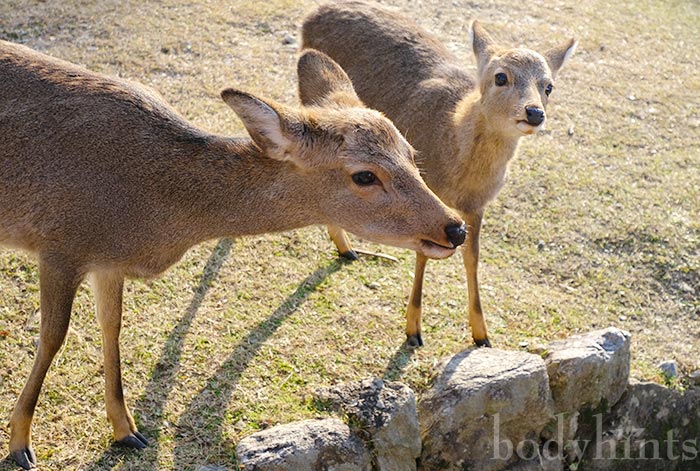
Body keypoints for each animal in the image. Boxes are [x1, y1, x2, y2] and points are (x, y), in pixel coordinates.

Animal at [1, 41, 470, 471]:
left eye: (411, 153)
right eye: (364, 175)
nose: (455, 228)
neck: (152, 213)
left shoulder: (107, 263)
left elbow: (111, 328)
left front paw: (127, 431)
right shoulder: (60, 244)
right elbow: (52, 337)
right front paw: (21, 445)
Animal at [304, 0, 576, 350]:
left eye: (549, 86)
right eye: (501, 76)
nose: (534, 112)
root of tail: (311, 14)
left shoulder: (476, 207)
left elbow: (472, 257)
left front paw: (482, 335)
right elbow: (423, 253)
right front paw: (413, 330)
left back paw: (346, 248)